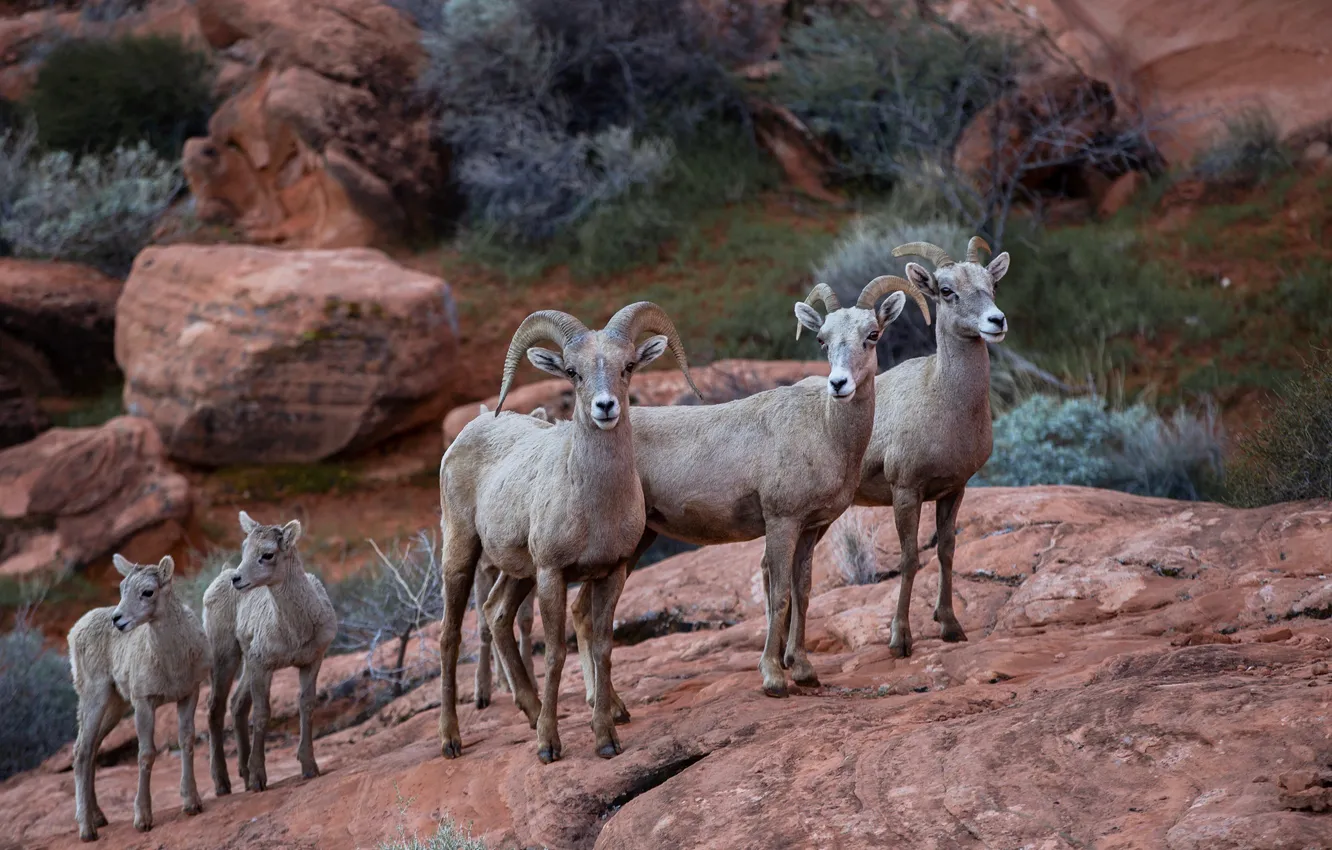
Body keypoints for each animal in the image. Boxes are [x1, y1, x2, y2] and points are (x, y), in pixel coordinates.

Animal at [69, 556, 209, 842]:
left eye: (147, 592)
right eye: (122, 588)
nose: (118, 620)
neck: (172, 662)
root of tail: (75, 630)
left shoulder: (189, 694)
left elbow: (187, 741)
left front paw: (192, 803)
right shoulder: (144, 703)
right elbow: (146, 754)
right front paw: (143, 819)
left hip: (114, 704)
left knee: (92, 749)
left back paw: (98, 818)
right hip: (94, 696)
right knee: (81, 751)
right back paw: (87, 830)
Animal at [203, 511, 338, 799]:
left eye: (267, 554)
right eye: (244, 548)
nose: (238, 579)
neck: (295, 631)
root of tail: (220, 575)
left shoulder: (311, 661)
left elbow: (306, 705)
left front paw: (309, 767)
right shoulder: (263, 665)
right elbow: (263, 714)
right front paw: (258, 779)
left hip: (246, 664)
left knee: (236, 704)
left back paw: (242, 775)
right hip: (226, 655)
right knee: (215, 708)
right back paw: (223, 784)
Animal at [439, 301, 708, 767]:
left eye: (628, 366)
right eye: (572, 371)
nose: (605, 407)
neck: (594, 504)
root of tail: (472, 429)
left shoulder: (611, 573)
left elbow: (602, 647)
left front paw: (606, 740)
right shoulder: (553, 574)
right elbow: (555, 654)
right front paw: (549, 746)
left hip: (519, 573)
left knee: (496, 613)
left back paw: (529, 713)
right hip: (464, 553)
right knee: (450, 636)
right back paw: (452, 741)